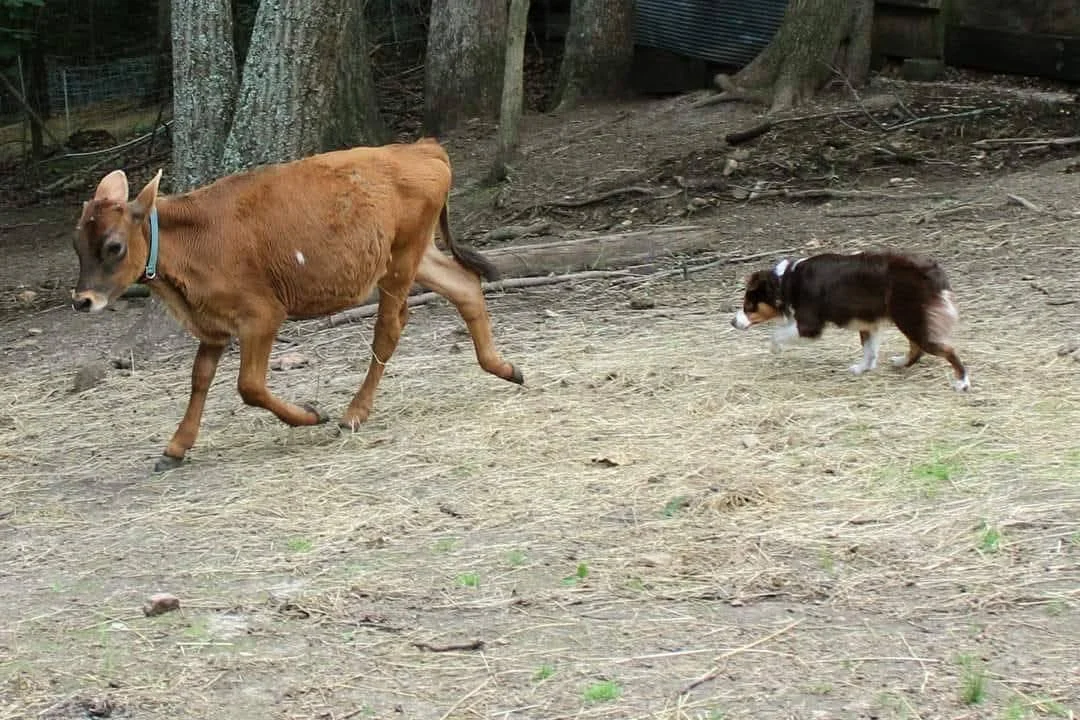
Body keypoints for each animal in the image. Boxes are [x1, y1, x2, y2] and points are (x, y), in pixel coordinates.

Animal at [71, 138, 523, 472]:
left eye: (113, 245)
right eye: (77, 244)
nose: (82, 300)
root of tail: (425, 148)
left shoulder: (262, 315)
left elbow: (249, 386)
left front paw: (310, 414)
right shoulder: (213, 325)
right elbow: (200, 378)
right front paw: (175, 447)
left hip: (401, 261)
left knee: (390, 328)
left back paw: (353, 413)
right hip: (419, 254)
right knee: (465, 286)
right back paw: (506, 368)